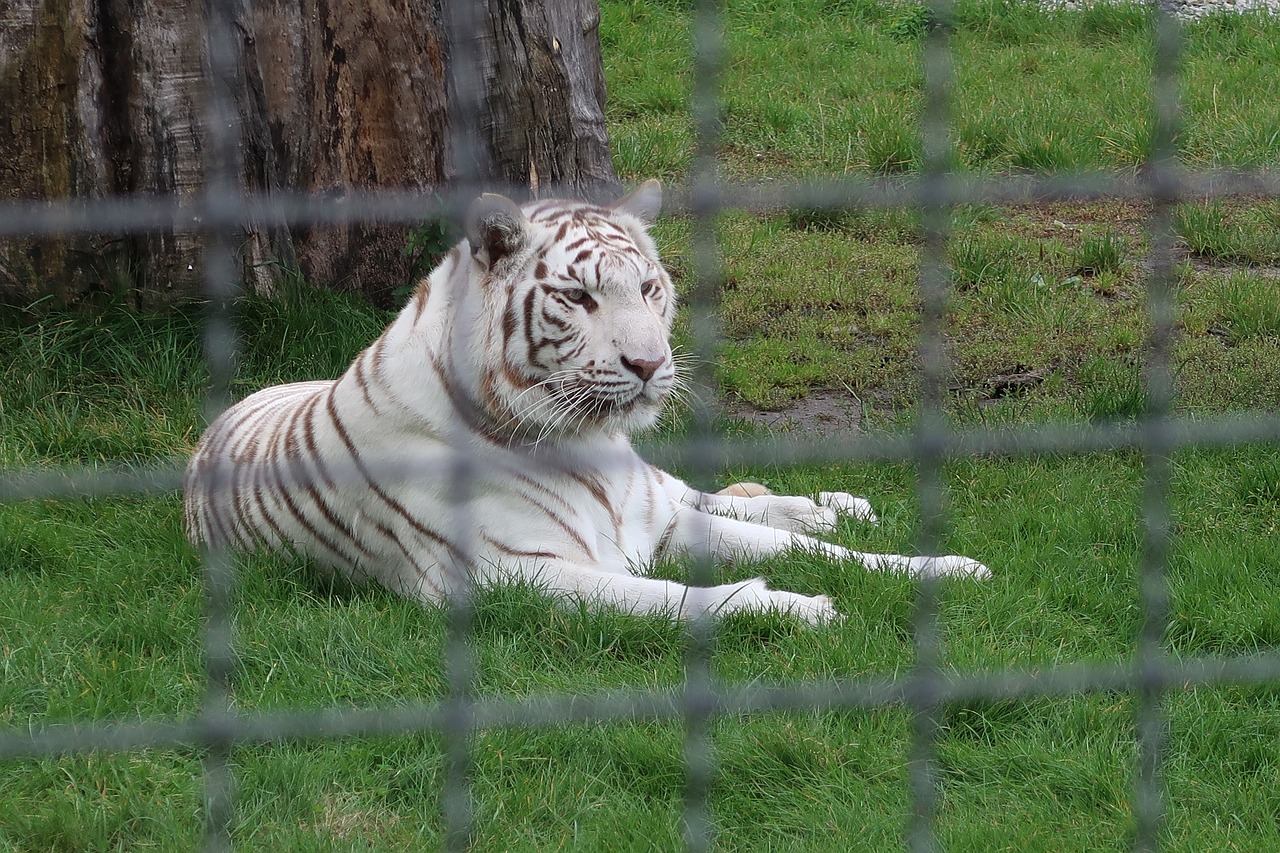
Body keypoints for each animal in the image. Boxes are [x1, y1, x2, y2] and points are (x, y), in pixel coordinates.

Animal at [183, 179, 988, 622]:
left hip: (659, 493)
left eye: (650, 288)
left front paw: (949, 567)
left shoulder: (656, 523)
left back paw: (835, 504)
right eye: (577, 297)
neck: (587, 445)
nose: (651, 363)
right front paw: (806, 607)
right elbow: (688, 597)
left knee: (724, 497)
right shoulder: (513, 573)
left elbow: (810, 549)